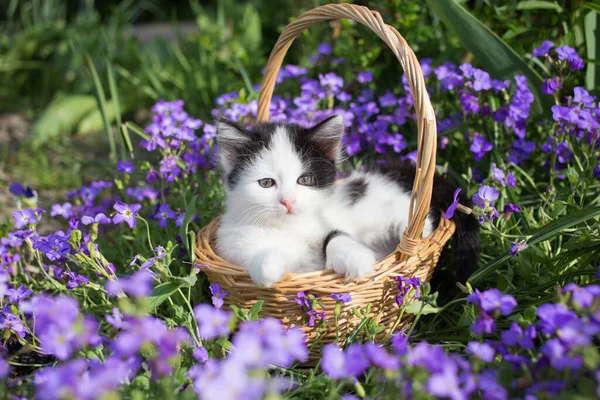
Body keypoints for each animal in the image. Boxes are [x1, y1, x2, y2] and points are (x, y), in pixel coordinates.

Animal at [213, 115, 480, 288]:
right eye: (267, 183)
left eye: (305, 179)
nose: (287, 202)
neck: (289, 228)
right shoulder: (231, 246)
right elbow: (255, 253)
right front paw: (267, 266)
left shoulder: (329, 222)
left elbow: (336, 235)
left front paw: (354, 258)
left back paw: (411, 228)